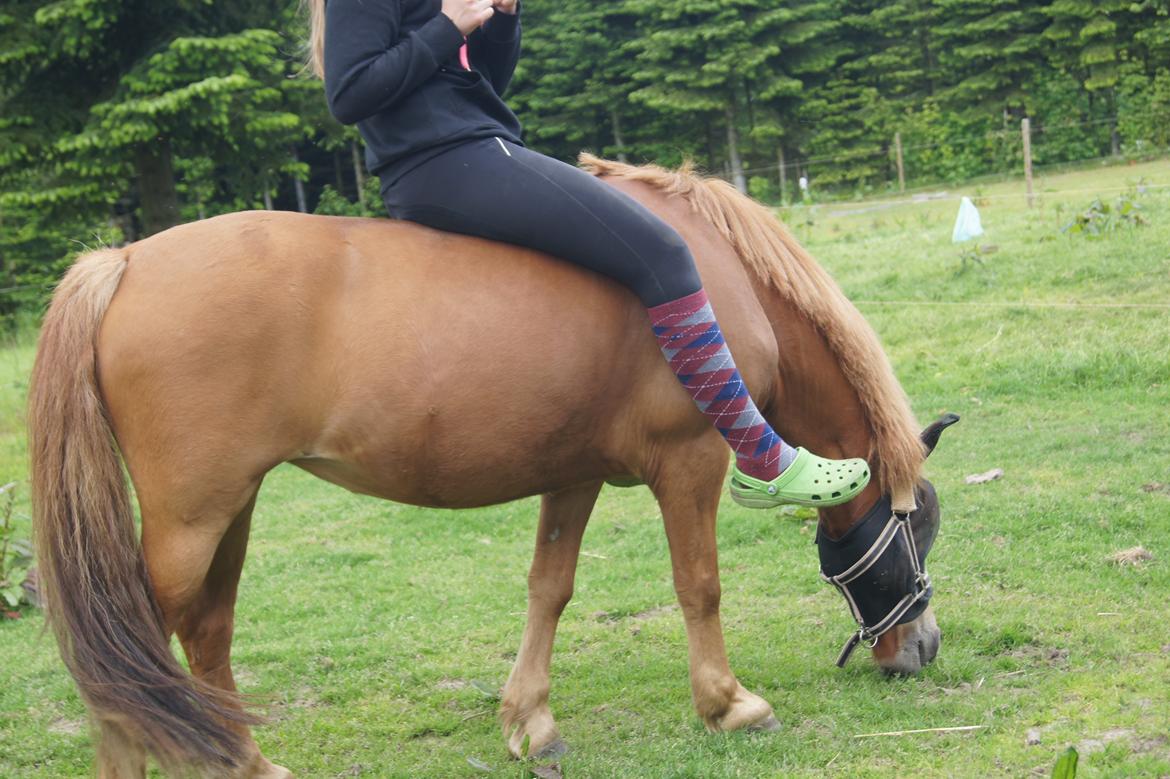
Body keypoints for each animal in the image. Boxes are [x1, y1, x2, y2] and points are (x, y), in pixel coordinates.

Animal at [29, 155, 953, 778]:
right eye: (914, 532)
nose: (922, 647)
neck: (719, 280)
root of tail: (123, 262)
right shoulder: (688, 463)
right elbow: (699, 584)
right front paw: (728, 702)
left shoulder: (573, 474)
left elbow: (551, 587)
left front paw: (529, 720)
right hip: (194, 515)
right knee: (125, 647)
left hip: (232, 506)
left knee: (205, 631)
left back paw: (246, 760)